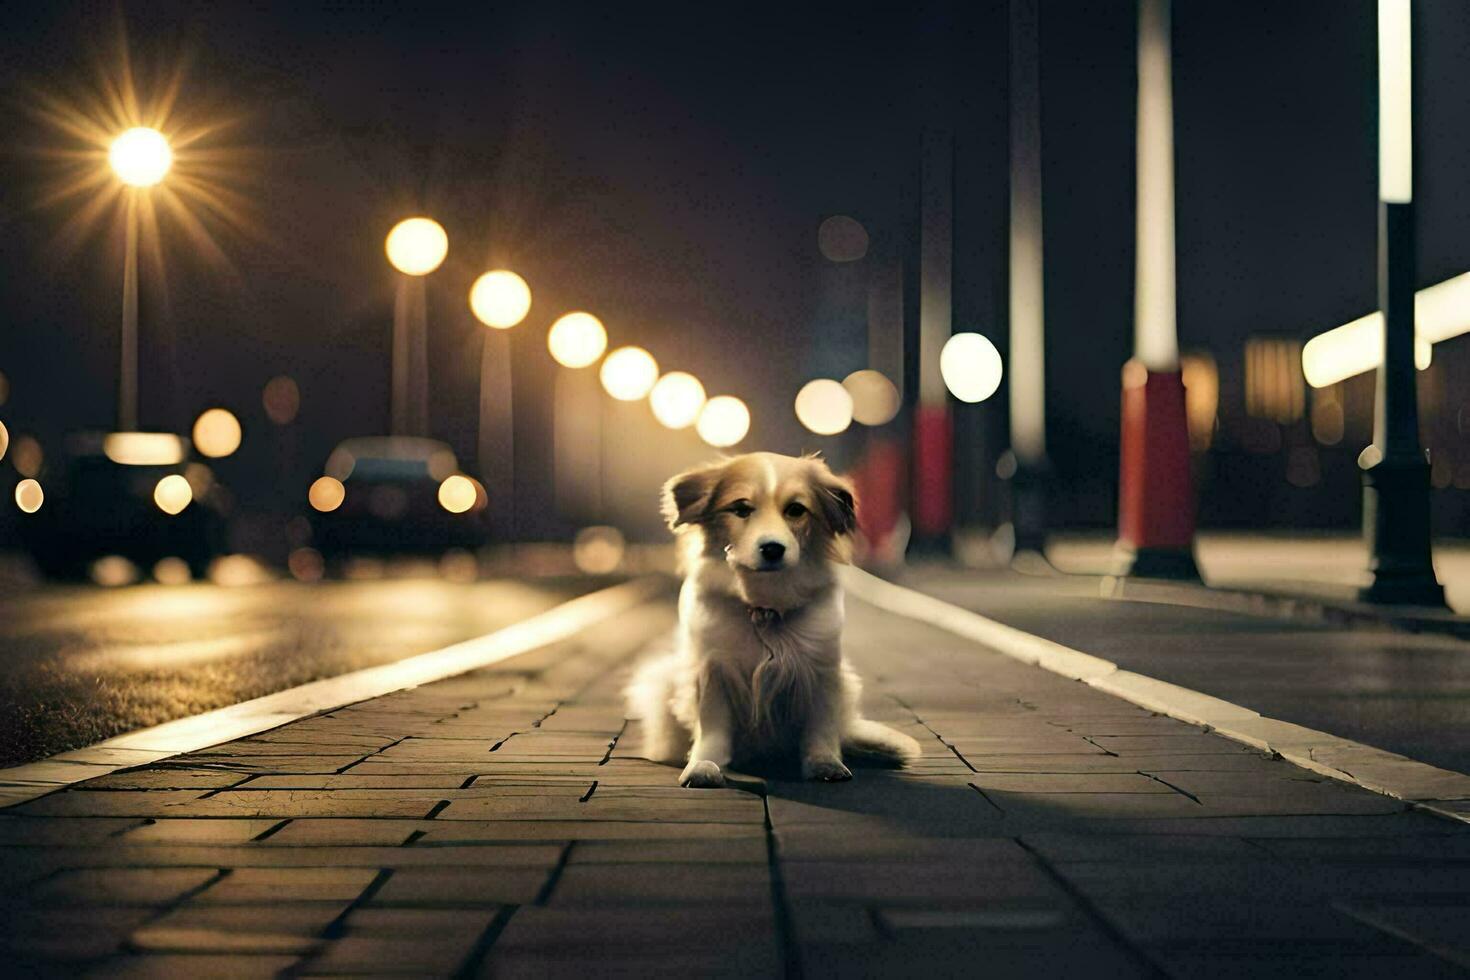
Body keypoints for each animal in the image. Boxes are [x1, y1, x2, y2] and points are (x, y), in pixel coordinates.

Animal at [626, 452, 923, 787]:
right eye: (741, 509)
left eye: (796, 509)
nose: (772, 549)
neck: (765, 607)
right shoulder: (713, 672)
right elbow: (712, 730)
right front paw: (702, 764)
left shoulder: (822, 671)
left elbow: (820, 729)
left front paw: (825, 764)